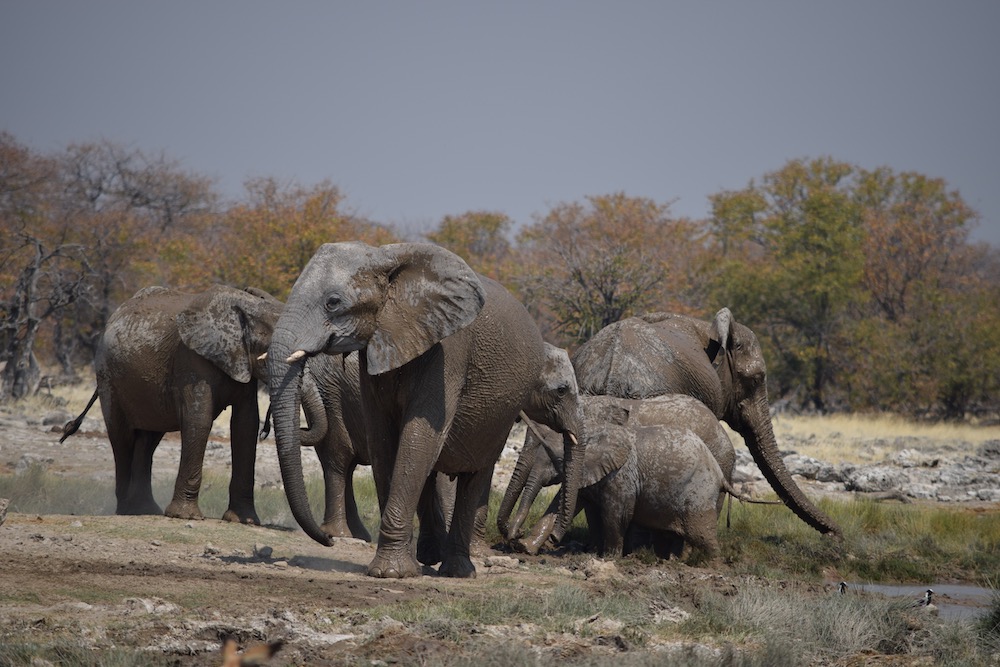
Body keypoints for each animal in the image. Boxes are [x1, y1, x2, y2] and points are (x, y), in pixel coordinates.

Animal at [62, 284, 326, 524]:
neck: (247, 306)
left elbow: (245, 424)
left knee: (148, 440)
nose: (300, 427)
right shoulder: (191, 359)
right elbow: (199, 419)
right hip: (108, 376)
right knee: (122, 437)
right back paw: (128, 511)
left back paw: (145, 510)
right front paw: (184, 516)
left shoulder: (240, 361)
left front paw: (244, 521)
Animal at [270, 241, 588, 580]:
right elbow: (384, 440)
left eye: (333, 302)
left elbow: (418, 438)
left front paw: (391, 573)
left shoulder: (450, 351)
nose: (326, 542)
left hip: (500, 411)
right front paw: (396, 569)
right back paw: (428, 557)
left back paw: (457, 571)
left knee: (475, 473)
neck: (385, 257)